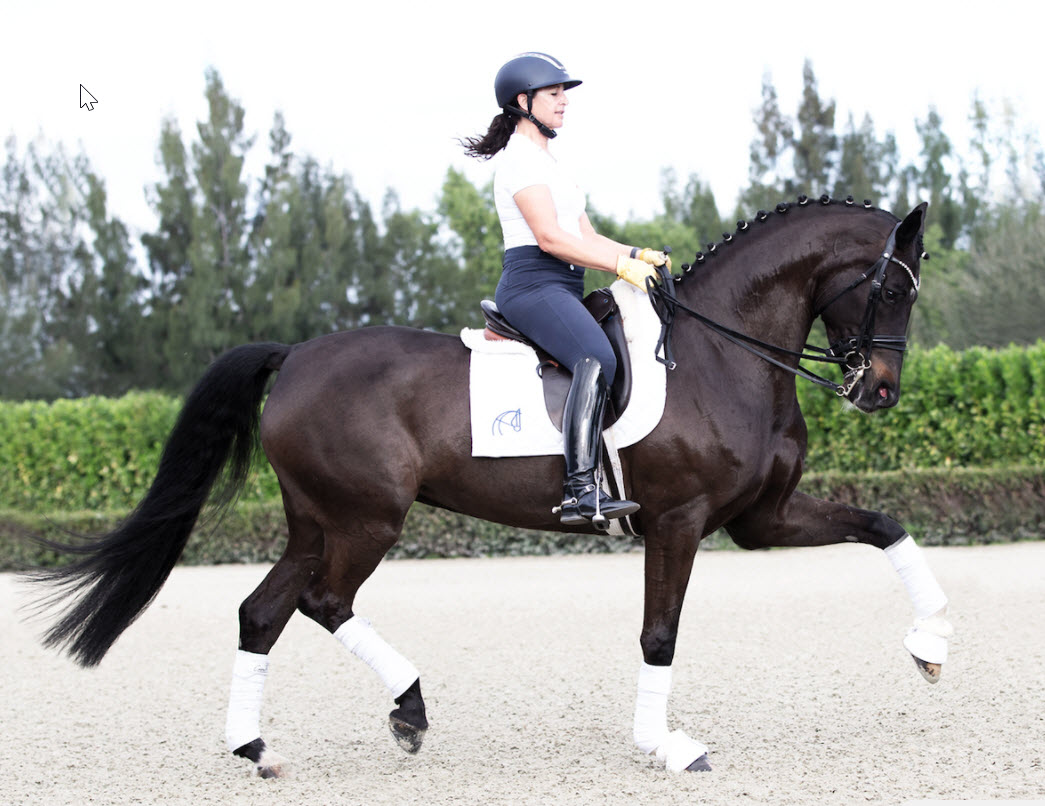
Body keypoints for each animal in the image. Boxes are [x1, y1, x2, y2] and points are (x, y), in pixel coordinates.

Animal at [27, 197, 954, 777]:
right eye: (890, 286)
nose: (877, 391)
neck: (721, 353)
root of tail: (294, 356)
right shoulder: (679, 521)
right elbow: (658, 634)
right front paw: (666, 746)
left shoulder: (760, 519)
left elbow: (883, 522)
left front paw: (931, 645)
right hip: (367, 519)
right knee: (323, 602)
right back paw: (408, 709)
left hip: (316, 520)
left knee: (263, 611)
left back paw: (256, 749)